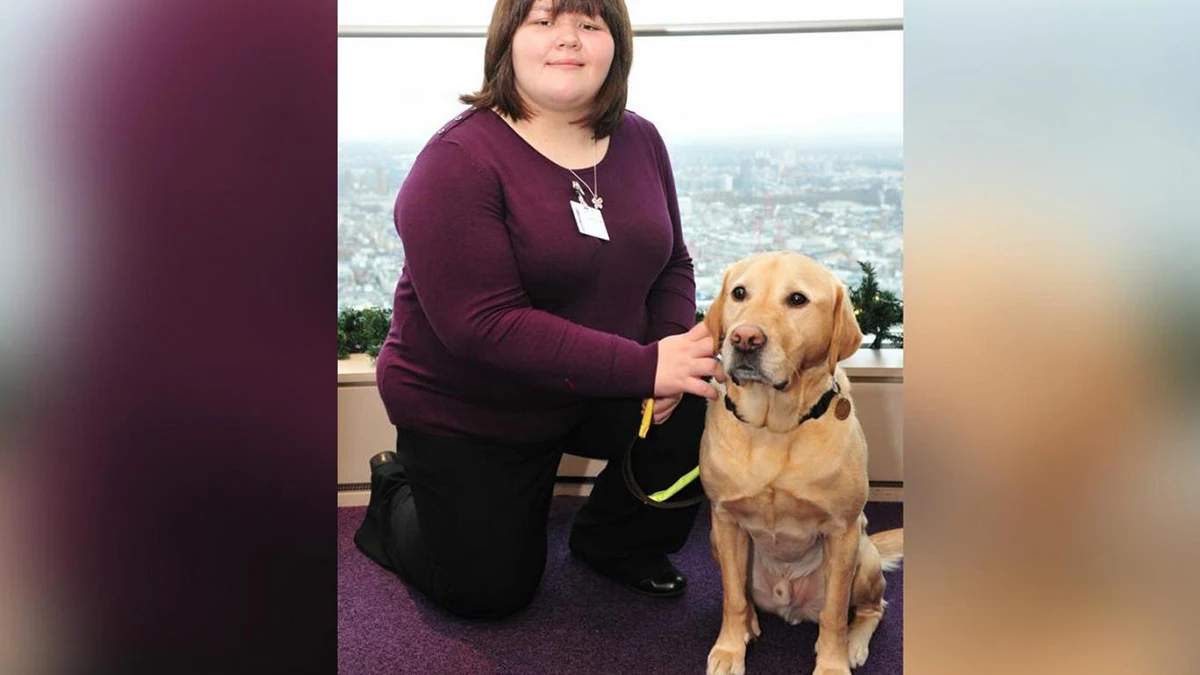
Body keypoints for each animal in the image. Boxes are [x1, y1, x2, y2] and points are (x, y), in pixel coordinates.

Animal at [700, 251, 902, 672]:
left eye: (797, 300)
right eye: (739, 293)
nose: (744, 338)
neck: (774, 426)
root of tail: (790, 606)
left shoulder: (842, 533)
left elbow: (834, 614)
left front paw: (833, 663)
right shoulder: (725, 521)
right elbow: (733, 597)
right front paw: (730, 650)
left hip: (864, 559)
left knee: (872, 608)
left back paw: (855, 644)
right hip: (715, 541)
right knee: (745, 596)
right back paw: (751, 624)